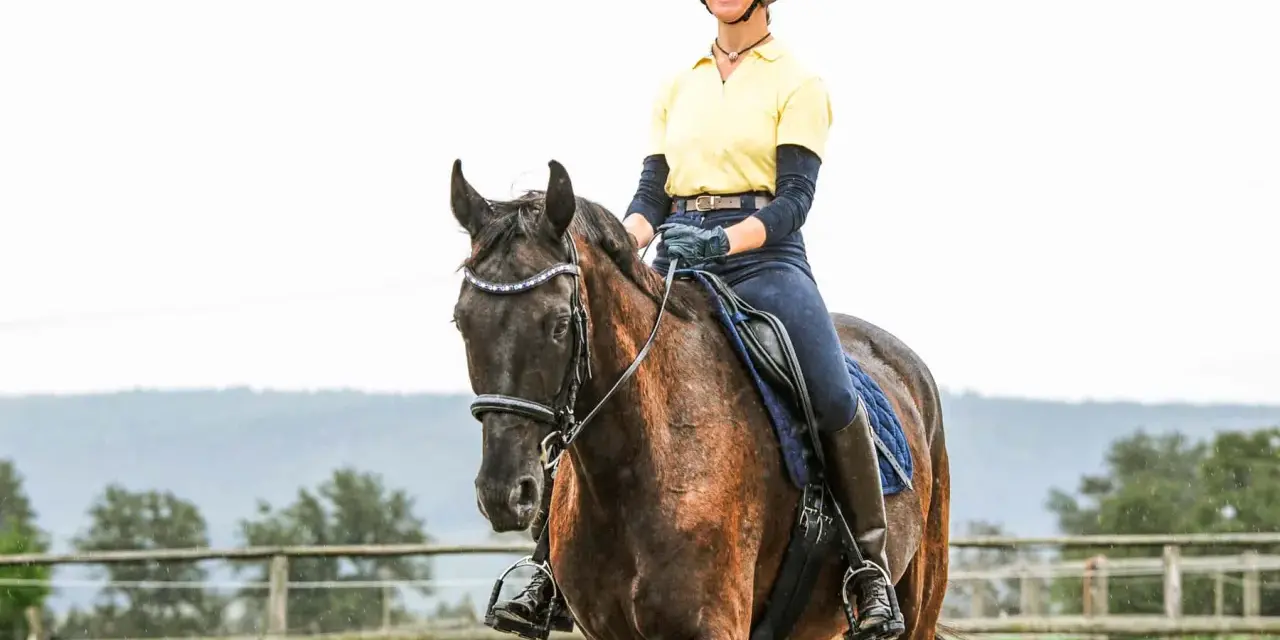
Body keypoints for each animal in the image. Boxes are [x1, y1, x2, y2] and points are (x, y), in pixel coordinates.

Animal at [449, 158, 951, 640]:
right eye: (461, 320)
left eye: (557, 323)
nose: (503, 494)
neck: (642, 457)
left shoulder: (711, 625)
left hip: (919, 606)